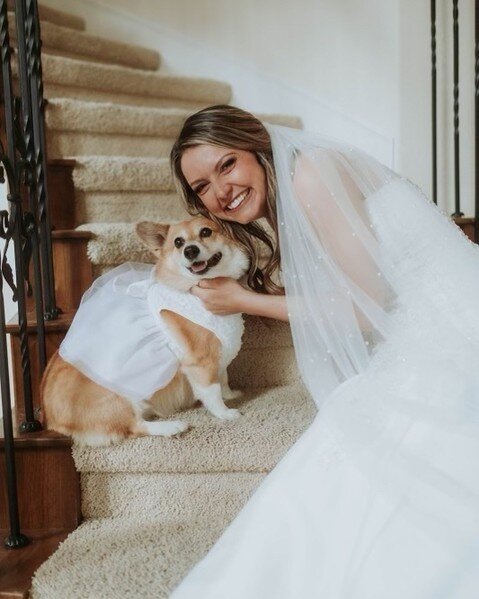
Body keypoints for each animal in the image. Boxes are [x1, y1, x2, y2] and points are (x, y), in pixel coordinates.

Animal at [41, 218, 249, 448]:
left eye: (206, 232)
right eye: (178, 242)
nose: (190, 251)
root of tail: (52, 420)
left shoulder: (220, 356)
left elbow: (224, 378)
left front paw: (231, 394)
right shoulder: (201, 362)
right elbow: (212, 392)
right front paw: (226, 413)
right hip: (121, 397)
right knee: (135, 427)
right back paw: (172, 427)